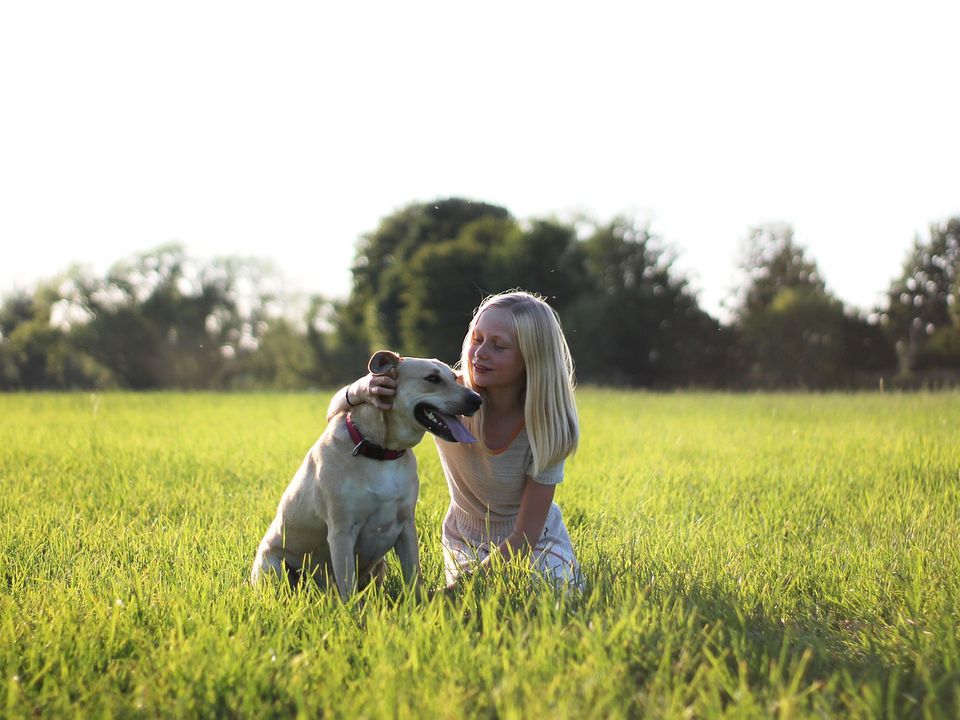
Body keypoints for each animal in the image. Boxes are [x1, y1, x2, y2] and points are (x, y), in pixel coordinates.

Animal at [251, 352, 484, 600]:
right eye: (432, 378)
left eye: (455, 377)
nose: (477, 400)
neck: (381, 452)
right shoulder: (342, 531)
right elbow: (348, 588)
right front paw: (353, 610)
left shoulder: (406, 526)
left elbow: (413, 576)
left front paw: (419, 604)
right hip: (273, 565)